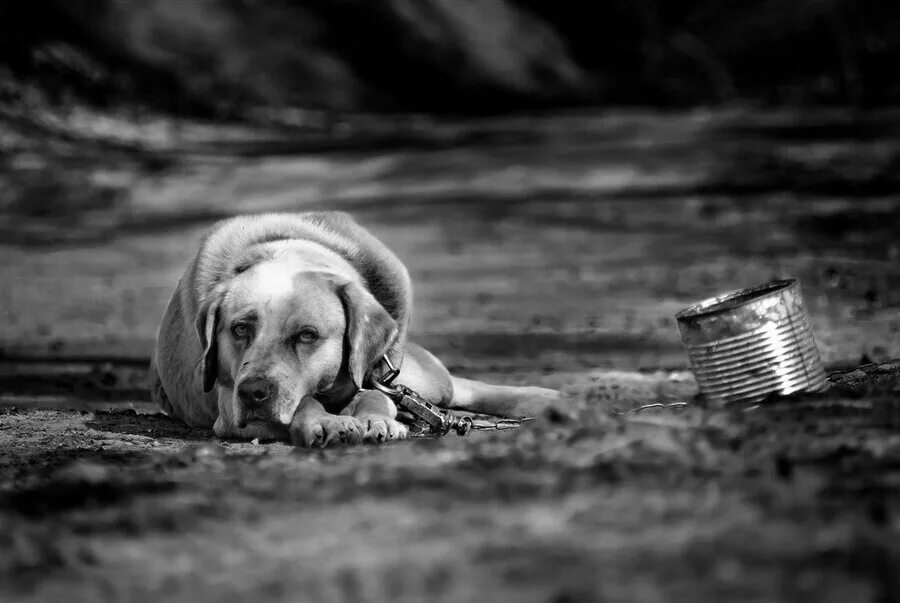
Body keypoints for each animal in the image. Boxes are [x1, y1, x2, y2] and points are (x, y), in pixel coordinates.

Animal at [153, 210, 564, 446]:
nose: (253, 392)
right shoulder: (228, 407)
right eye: (239, 329)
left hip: (424, 377)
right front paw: (327, 423)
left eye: (307, 335)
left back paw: (546, 398)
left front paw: (375, 420)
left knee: (457, 387)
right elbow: (304, 402)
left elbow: (376, 396)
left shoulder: (380, 376)